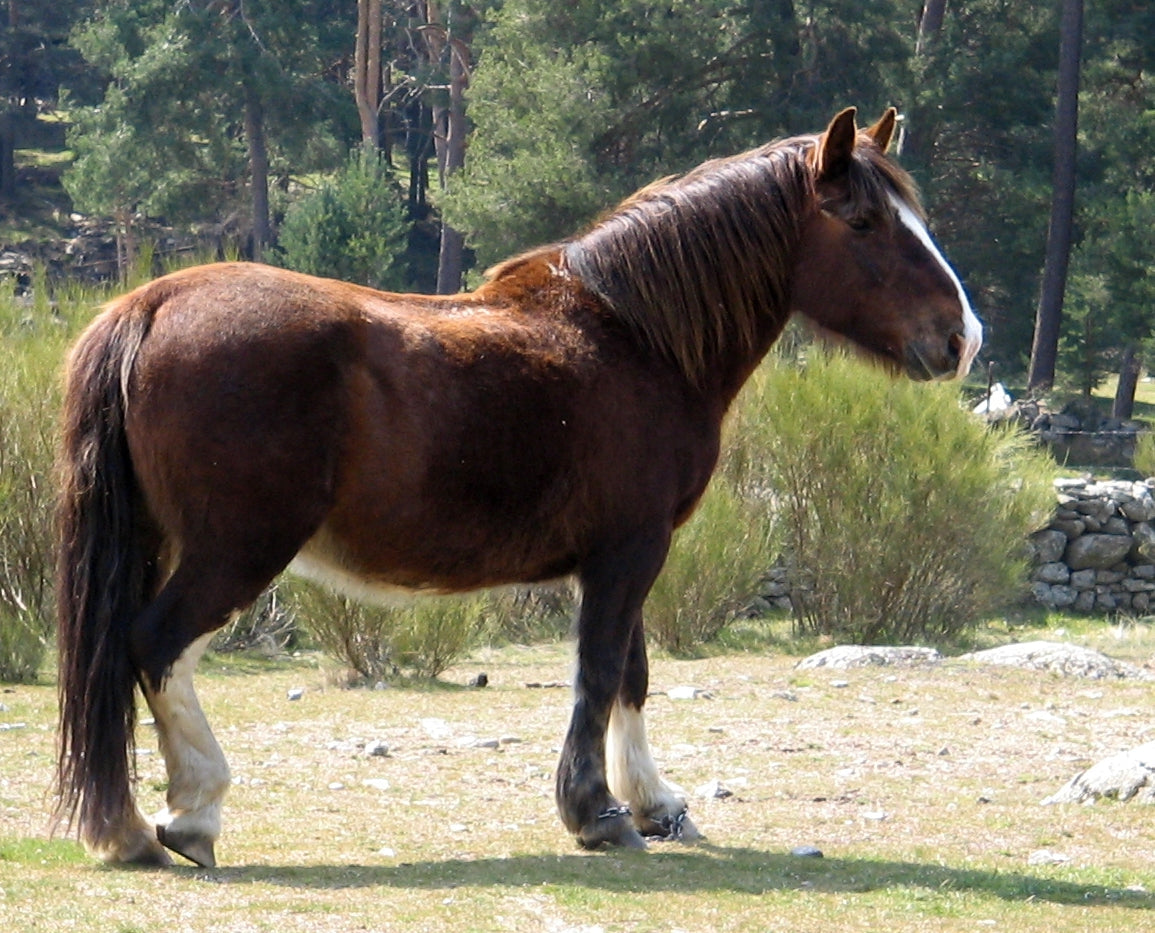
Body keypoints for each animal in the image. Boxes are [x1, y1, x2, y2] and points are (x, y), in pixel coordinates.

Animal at [54, 109, 984, 868]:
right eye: (862, 221)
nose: (961, 338)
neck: (632, 335)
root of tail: (150, 304)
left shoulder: (622, 554)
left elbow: (632, 674)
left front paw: (654, 803)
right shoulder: (630, 551)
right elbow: (601, 671)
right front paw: (595, 813)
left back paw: (132, 827)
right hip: (236, 551)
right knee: (155, 645)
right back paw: (187, 816)